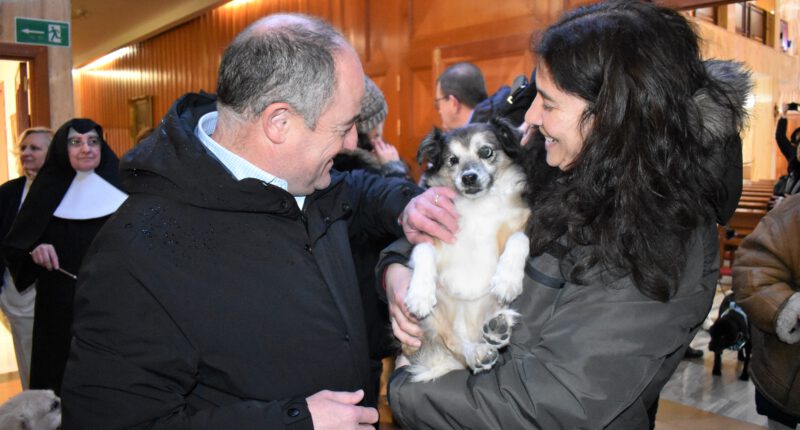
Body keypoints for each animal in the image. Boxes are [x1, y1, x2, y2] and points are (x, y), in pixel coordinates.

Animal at [406, 116, 532, 382]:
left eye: (486, 151)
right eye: (452, 160)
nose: (469, 178)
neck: (477, 206)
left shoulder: (519, 222)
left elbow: (519, 239)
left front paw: (507, 279)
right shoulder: (432, 232)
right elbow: (422, 249)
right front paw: (419, 293)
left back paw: (498, 327)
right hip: (438, 316)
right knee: (455, 342)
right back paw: (478, 352)